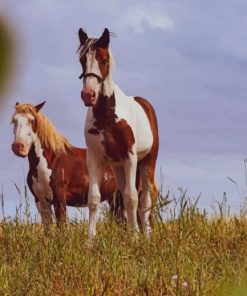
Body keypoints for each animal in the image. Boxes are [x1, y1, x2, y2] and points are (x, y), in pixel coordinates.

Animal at [11, 100, 122, 228]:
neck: (51, 162)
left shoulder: (59, 199)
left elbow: (61, 226)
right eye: (14, 120)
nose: (18, 147)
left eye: (32, 120)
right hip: (114, 198)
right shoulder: (41, 200)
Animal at [77, 27, 159, 236]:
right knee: (124, 194)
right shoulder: (94, 158)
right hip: (118, 166)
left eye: (104, 59)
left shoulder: (130, 157)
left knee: (144, 199)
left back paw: (146, 235)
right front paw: (90, 239)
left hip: (146, 162)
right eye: (82, 59)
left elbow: (132, 198)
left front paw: (135, 238)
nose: (88, 95)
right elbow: (94, 199)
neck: (107, 118)